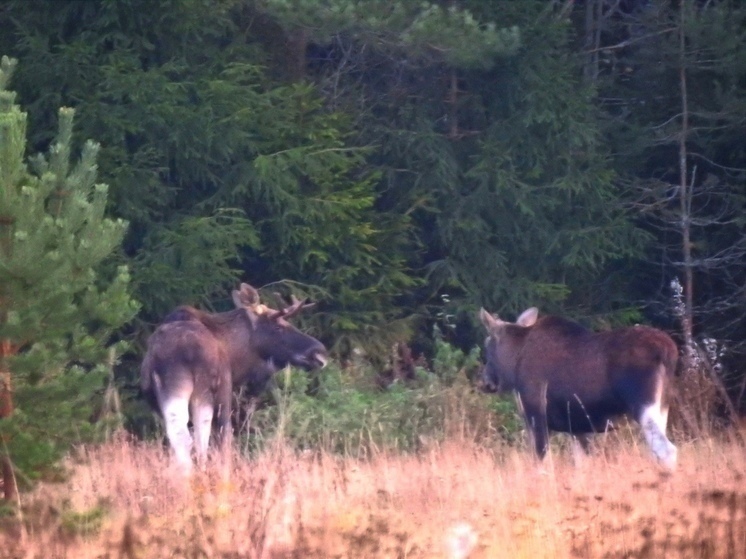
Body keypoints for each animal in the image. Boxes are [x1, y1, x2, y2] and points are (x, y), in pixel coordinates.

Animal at [140, 284, 326, 472]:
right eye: (279, 327)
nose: (319, 351)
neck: (233, 351)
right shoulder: (225, 388)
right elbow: (224, 435)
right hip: (204, 390)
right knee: (202, 436)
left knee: (178, 434)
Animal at [480, 308, 676, 470]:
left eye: (487, 345)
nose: (486, 381)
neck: (514, 363)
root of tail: (668, 351)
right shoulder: (578, 428)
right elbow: (581, 465)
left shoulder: (535, 414)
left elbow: (541, 462)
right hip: (661, 409)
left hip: (644, 406)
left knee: (667, 450)